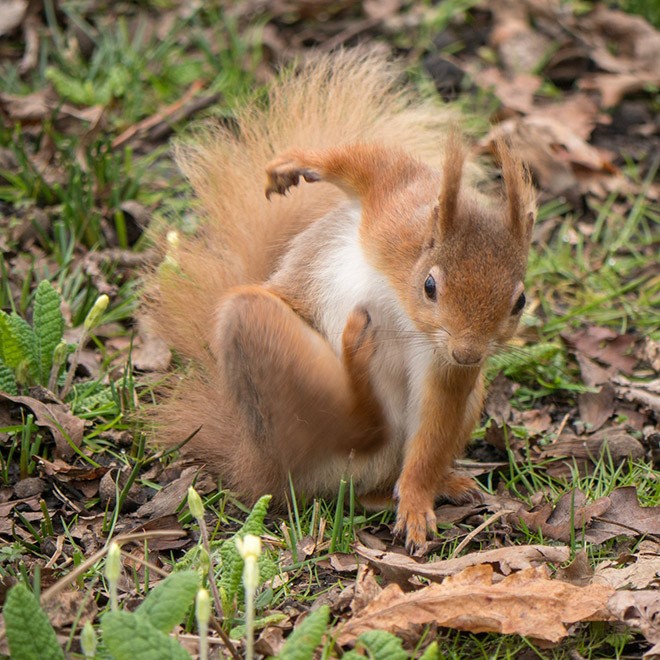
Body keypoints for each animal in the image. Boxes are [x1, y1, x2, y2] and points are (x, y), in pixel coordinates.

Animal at [144, 51, 536, 548]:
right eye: (430, 286)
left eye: (520, 301)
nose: (468, 353)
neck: (404, 301)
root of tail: (255, 466)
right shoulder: (391, 205)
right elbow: (367, 161)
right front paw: (294, 164)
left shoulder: (445, 368)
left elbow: (434, 429)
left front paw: (416, 500)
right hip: (256, 330)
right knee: (354, 429)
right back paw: (357, 353)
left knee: (372, 462)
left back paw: (436, 482)